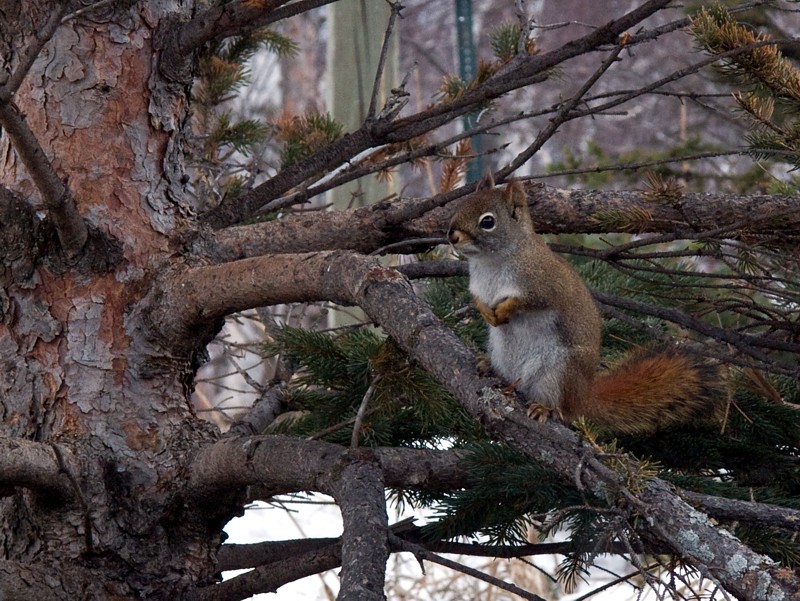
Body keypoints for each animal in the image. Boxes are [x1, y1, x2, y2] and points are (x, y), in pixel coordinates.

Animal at [446, 180, 720, 434]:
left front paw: (505, 310)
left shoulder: (544, 284)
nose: (452, 236)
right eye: (460, 205)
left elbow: (528, 301)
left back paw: (543, 408)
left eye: (487, 221)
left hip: (558, 372)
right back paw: (490, 367)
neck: (490, 262)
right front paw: (486, 312)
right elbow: (478, 300)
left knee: (560, 408)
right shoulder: (478, 287)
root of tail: (582, 396)